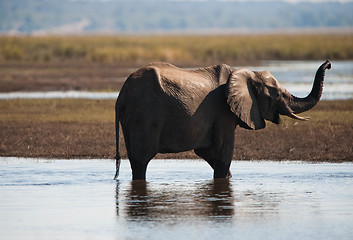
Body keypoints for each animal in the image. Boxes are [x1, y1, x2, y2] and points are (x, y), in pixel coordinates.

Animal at [113, 60, 330, 180]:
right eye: (277, 95)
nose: (328, 64)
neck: (245, 73)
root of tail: (121, 95)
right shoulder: (223, 112)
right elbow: (223, 153)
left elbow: (208, 152)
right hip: (145, 115)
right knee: (142, 159)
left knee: (135, 158)